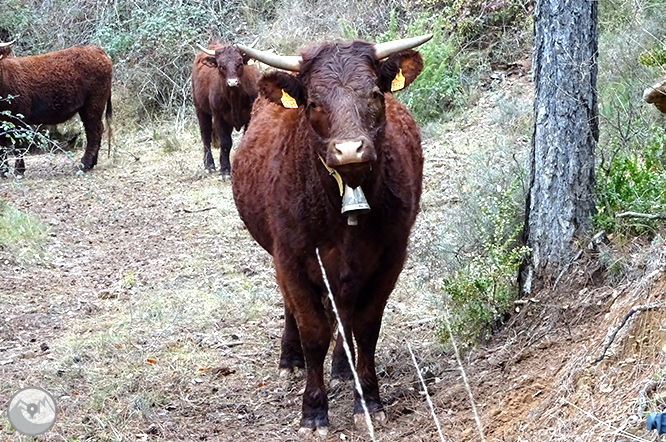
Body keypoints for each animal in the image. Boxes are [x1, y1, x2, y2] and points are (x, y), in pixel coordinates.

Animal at [0, 40, 112, 176]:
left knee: (94, 131)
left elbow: (18, 145)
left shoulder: (19, 118)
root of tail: (96, 49)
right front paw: (3, 171)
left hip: (93, 104)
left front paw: (19, 171)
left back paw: (85, 164)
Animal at [192, 43, 260, 176]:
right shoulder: (219, 116)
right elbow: (225, 142)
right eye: (221, 66)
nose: (232, 82)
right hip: (200, 110)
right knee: (205, 135)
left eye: (239, 63)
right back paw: (209, 164)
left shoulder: (250, 116)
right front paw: (225, 170)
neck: (234, 98)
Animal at [232, 34, 430, 436]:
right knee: (295, 308)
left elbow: (366, 325)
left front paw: (368, 401)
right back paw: (290, 359)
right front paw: (313, 411)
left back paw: (342, 365)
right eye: (314, 102)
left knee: (345, 311)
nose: (349, 149)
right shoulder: (291, 259)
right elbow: (313, 331)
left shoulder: (390, 257)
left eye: (374, 93)